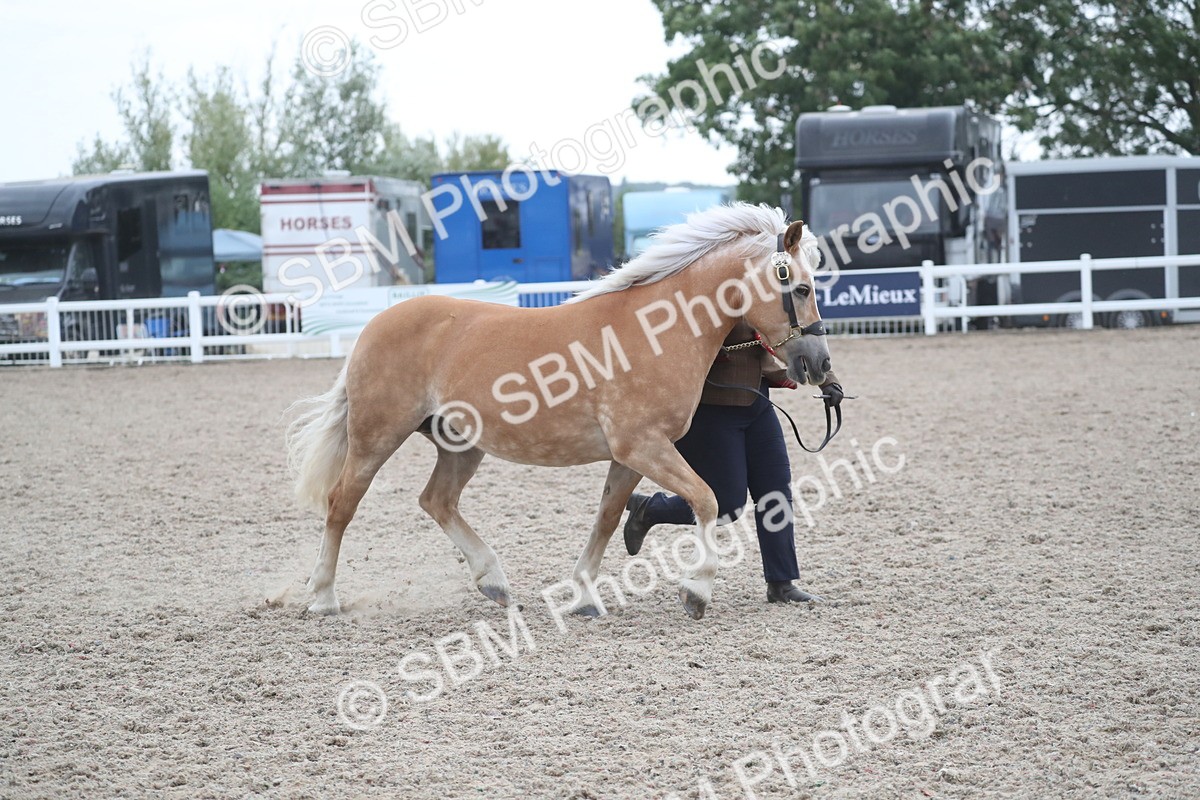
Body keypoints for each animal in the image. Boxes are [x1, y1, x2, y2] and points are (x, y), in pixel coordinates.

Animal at [286, 202, 832, 620]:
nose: (818, 364)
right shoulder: (643, 446)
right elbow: (707, 500)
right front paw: (697, 590)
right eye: (802, 287)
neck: (656, 330)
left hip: (460, 444)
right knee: (341, 505)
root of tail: (375, 325)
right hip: (376, 437)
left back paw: (495, 582)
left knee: (436, 501)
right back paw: (323, 597)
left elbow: (609, 519)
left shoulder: (630, 458)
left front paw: (585, 595)